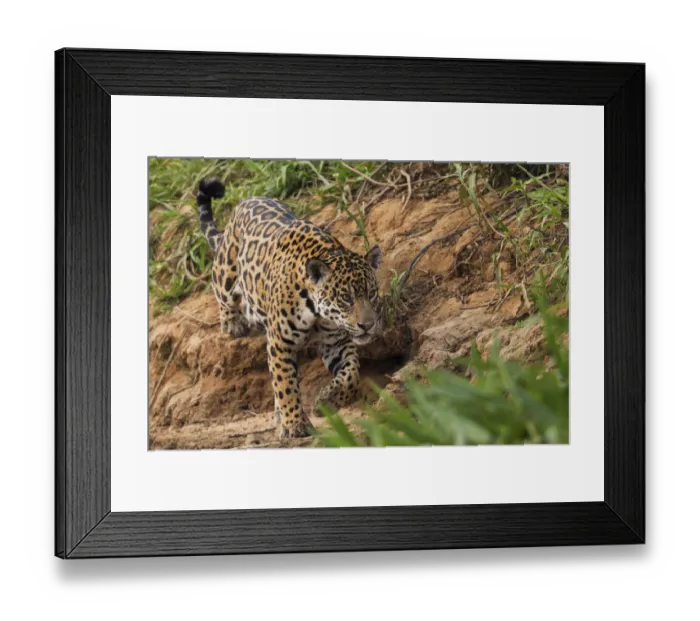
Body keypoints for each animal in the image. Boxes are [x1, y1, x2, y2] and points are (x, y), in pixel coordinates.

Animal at [197, 178, 384, 439]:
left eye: (372, 293)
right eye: (346, 298)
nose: (368, 325)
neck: (316, 312)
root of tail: (244, 202)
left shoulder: (336, 342)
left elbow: (351, 372)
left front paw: (328, 400)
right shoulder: (280, 344)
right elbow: (285, 384)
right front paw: (295, 424)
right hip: (226, 273)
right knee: (223, 293)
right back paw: (232, 323)